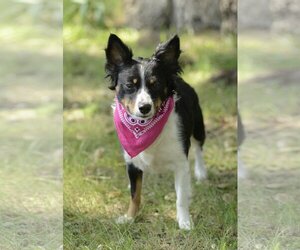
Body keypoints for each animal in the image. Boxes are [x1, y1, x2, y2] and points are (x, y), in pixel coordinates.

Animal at [103, 33, 206, 230]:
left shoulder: (181, 163)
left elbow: (181, 198)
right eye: (130, 85)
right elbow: (135, 195)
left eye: (155, 84)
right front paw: (129, 217)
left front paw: (184, 222)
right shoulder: (132, 162)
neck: (143, 127)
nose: (144, 107)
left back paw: (201, 172)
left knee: (199, 148)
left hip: (198, 127)